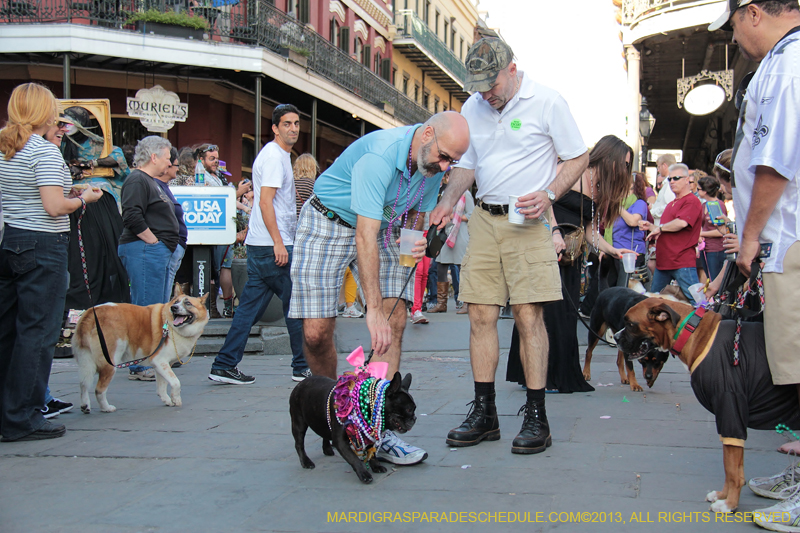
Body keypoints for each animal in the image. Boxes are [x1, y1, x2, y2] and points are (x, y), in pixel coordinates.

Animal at [74, 290, 209, 412]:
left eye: (188, 303)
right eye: (176, 302)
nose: (173, 307)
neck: (170, 327)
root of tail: (91, 313)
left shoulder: (161, 364)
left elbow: (162, 385)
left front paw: (166, 400)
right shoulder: (159, 361)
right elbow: (176, 382)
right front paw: (176, 399)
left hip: (85, 360)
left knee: (83, 384)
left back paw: (85, 405)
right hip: (110, 363)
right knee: (99, 390)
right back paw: (106, 408)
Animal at [616, 300, 796, 512]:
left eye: (630, 324)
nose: (616, 337)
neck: (692, 331)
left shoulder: (730, 409)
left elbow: (732, 469)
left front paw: (729, 504)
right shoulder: (731, 420)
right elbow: (732, 466)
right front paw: (723, 495)